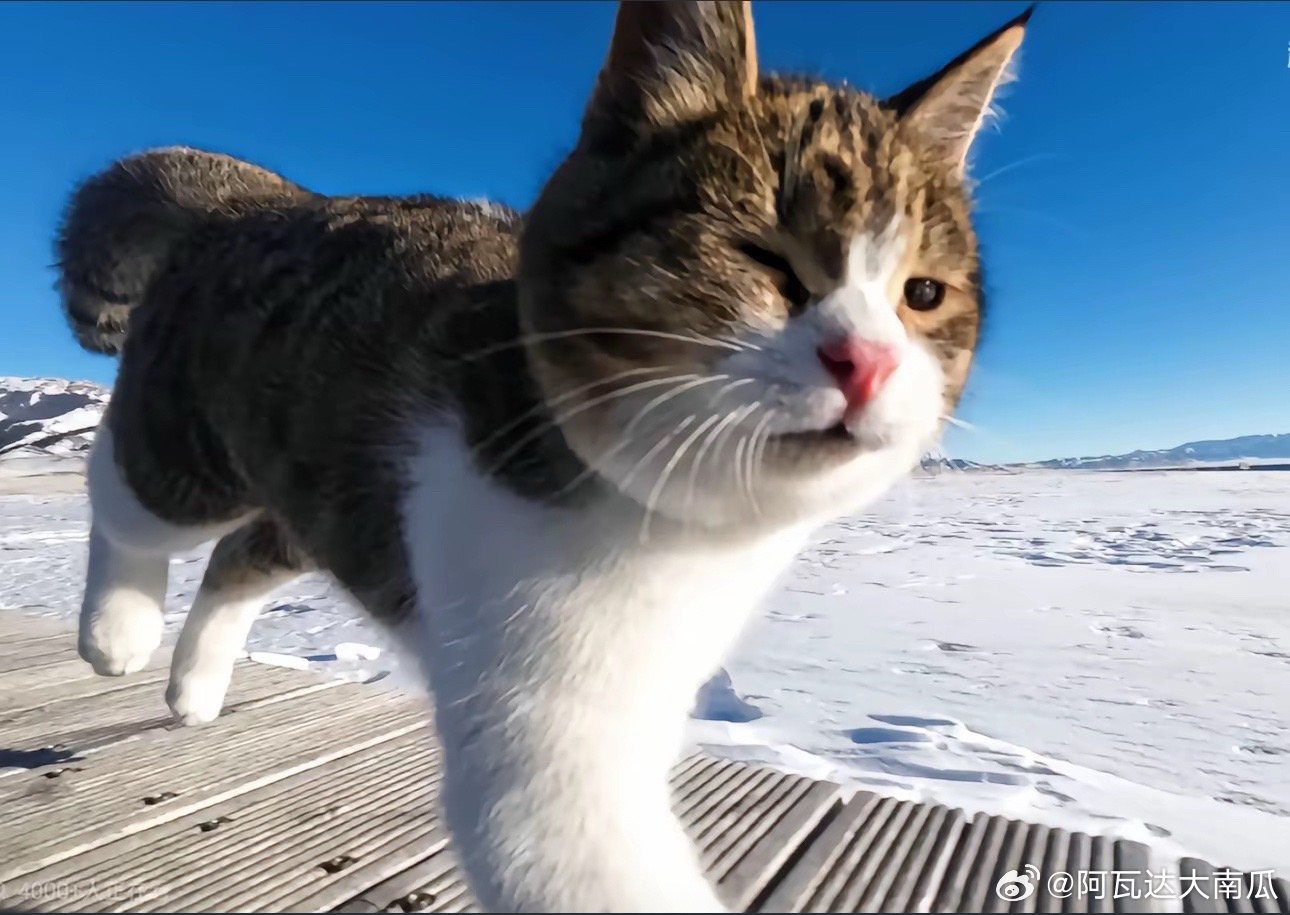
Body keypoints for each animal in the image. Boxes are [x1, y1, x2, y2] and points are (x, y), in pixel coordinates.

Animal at [55, 3, 1032, 908]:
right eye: (764, 259)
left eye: (923, 294)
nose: (867, 363)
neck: (674, 529)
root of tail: (269, 200)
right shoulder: (542, 738)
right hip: (189, 443)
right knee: (124, 490)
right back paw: (116, 629)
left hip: (323, 486)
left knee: (244, 548)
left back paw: (194, 684)